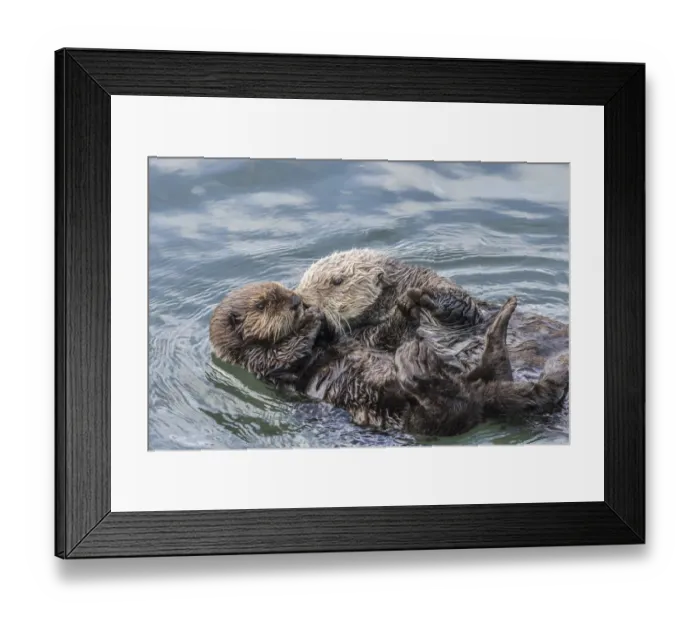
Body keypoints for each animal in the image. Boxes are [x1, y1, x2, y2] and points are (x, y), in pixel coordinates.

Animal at [209, 282, 568, 436]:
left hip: (480, 382)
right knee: (444, 410)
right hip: (413, 417)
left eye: (284, 291)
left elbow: (380, 336)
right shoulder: (262, 363)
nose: (297, 301)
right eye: (263, 304)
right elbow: (286, 352)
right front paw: (311, 319)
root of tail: (483, 400)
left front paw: (411, 302)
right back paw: (416, 365)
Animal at [295, 248, 569, 372]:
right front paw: (404, 311)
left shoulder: (443, 286)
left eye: (337, 281)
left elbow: (461, 306)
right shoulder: (365, 338)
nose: (301, 298)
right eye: (304, 279)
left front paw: (421, 298)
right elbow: (385, 336)